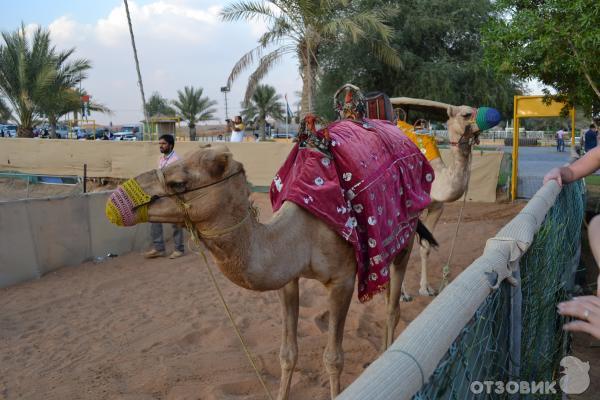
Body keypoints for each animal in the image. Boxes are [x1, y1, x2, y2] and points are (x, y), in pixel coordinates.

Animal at [109, 145, 436, 400]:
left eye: (178, 182)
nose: (115, 200)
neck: (303, 233)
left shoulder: (342, 280)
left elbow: (333, 358)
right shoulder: (287, 280)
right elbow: (287, 353)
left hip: (404, 238)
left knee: (393, 306)